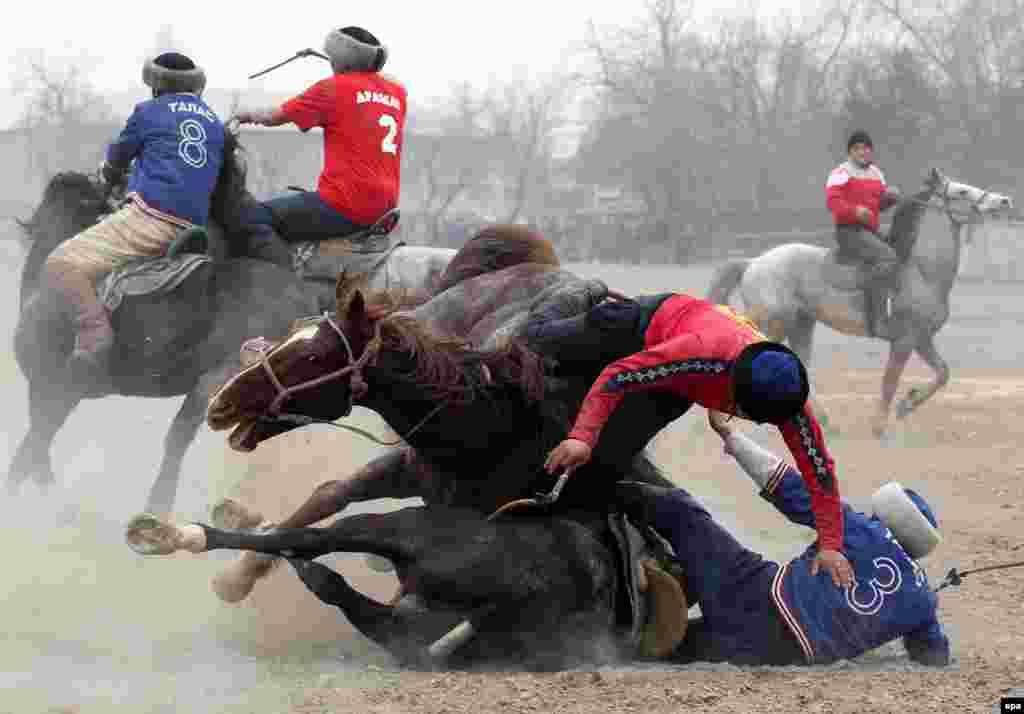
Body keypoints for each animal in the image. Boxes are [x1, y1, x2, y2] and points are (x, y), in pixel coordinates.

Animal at [708, 168, 1011, 434]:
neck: (922, 271)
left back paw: (825, 423)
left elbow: (942, 373)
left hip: (801, 325)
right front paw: (879, 427)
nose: (1004, 200)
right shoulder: (905, 340)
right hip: (774, 326)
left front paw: (907, 404)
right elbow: (889, 381)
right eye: (961, 191)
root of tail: (754, 262)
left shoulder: (922, 339)